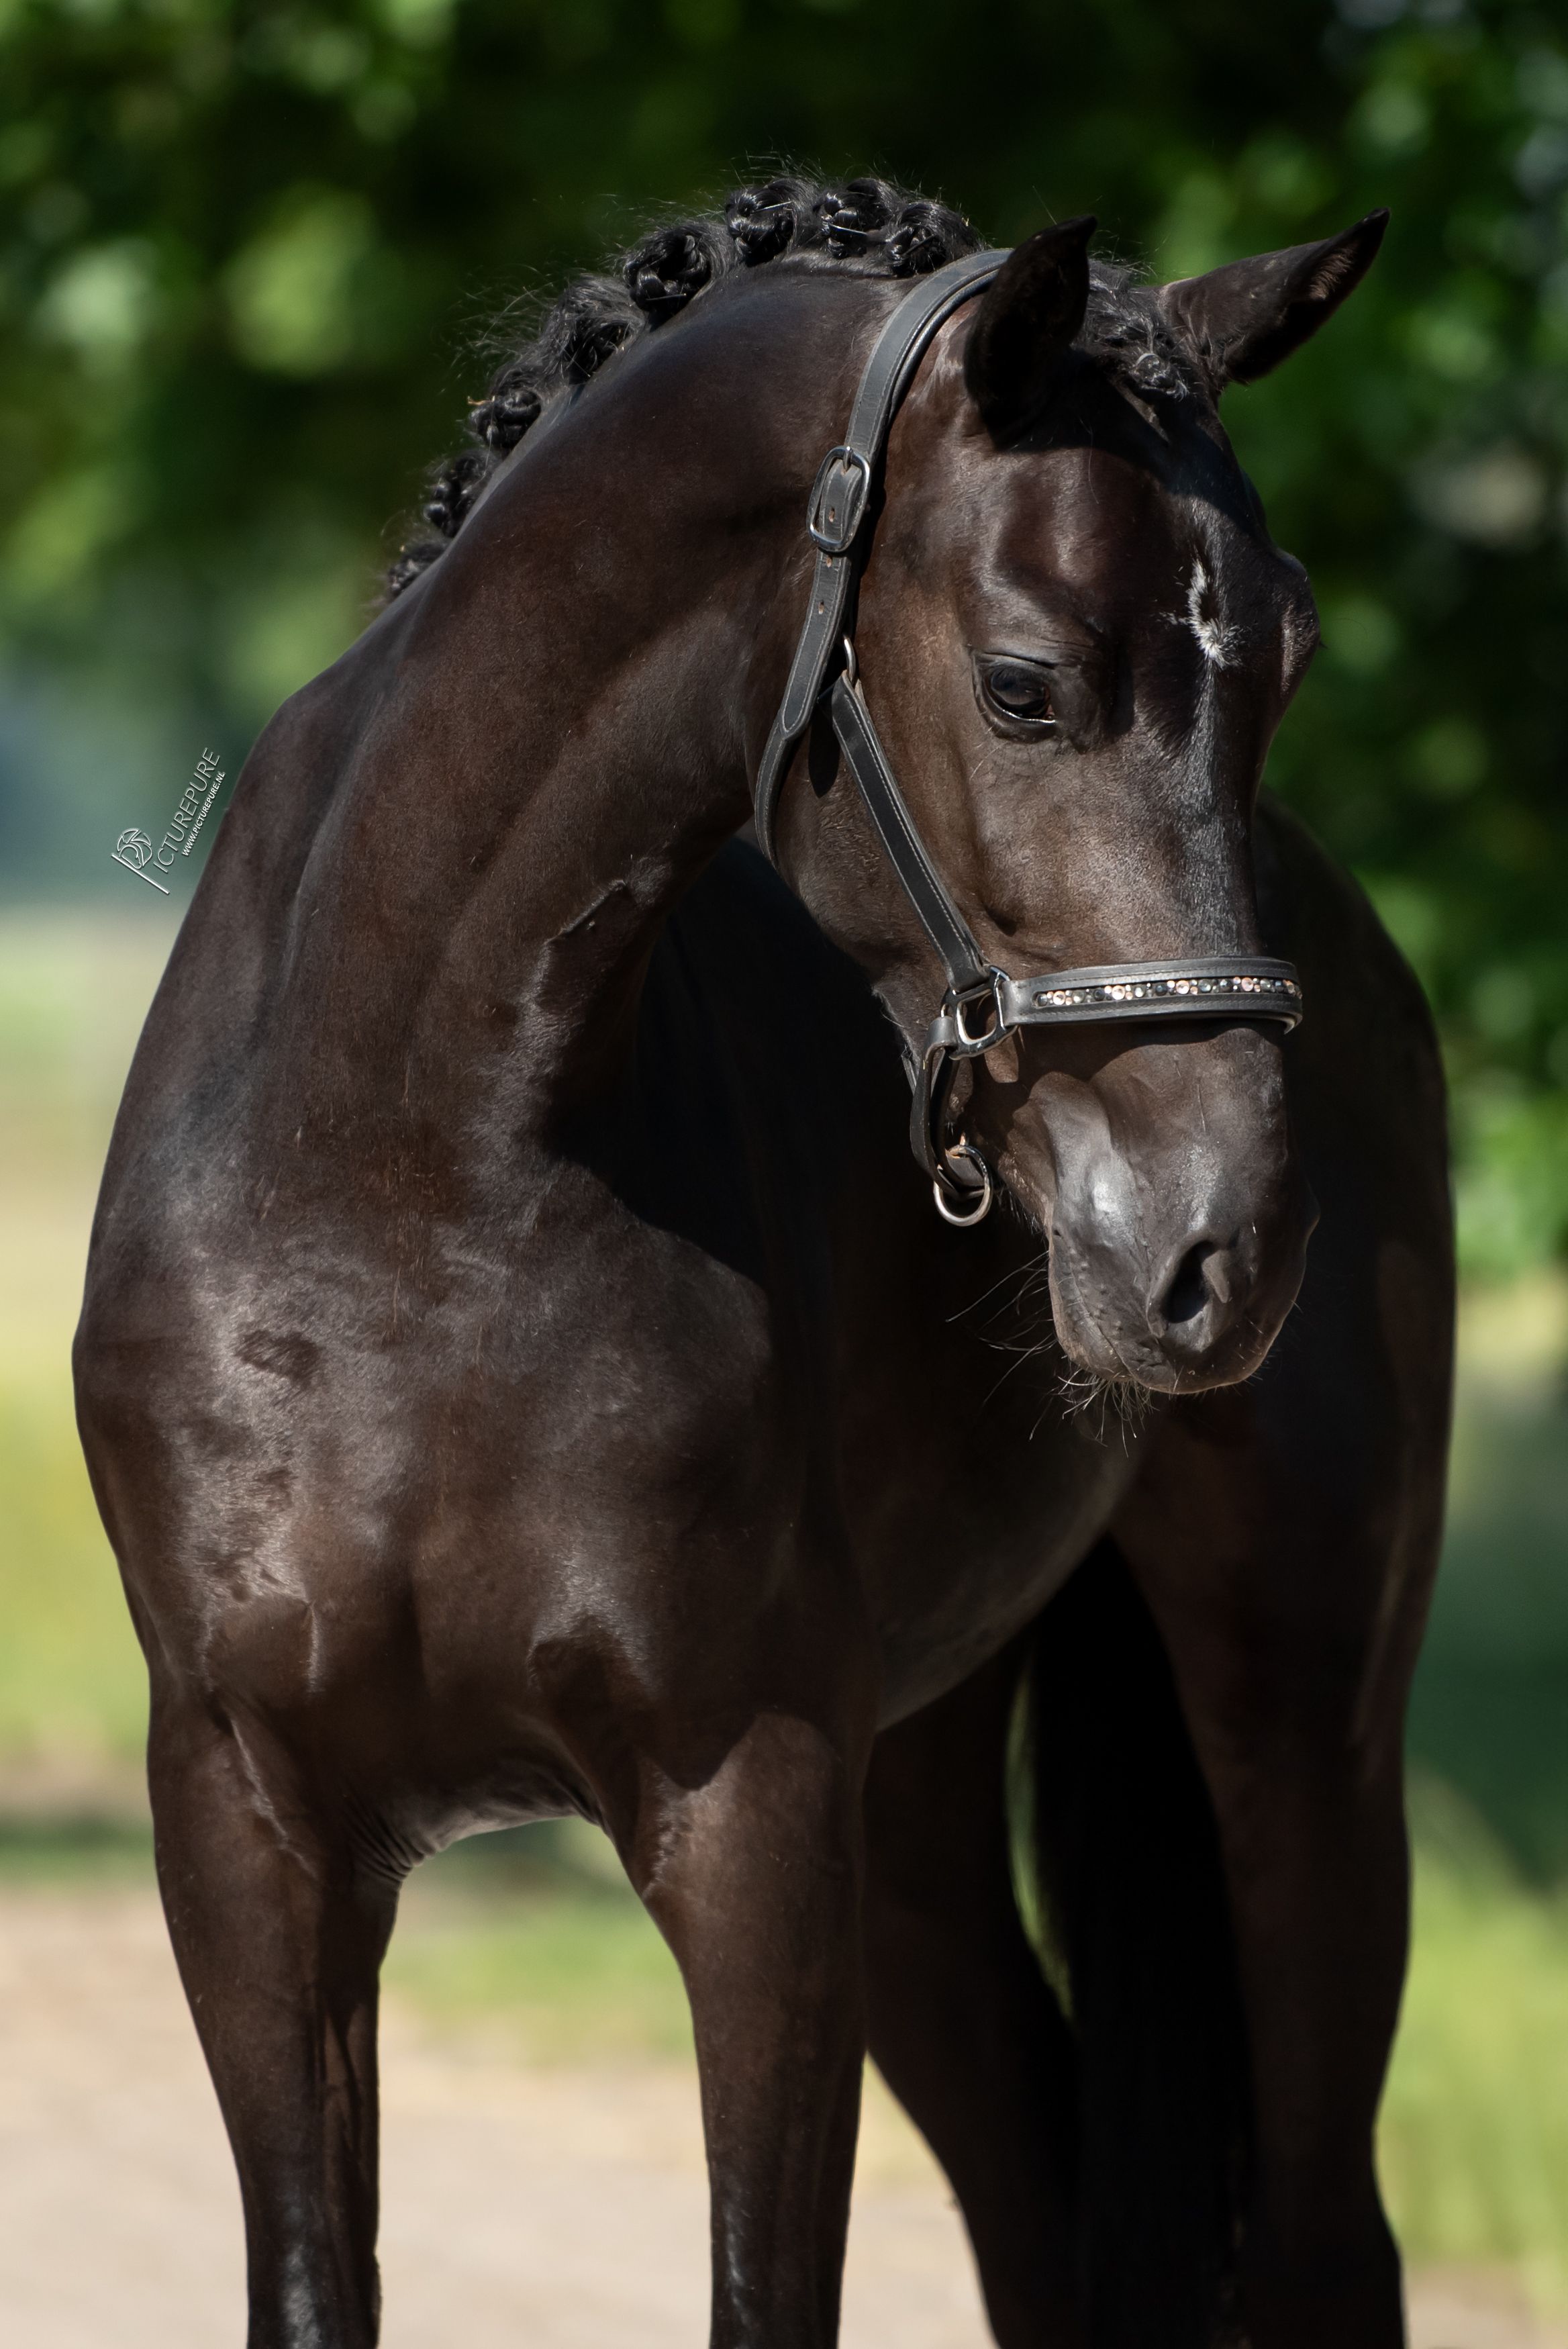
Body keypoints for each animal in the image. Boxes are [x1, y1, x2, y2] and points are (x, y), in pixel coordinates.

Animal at [74, 175, 1453, 2349]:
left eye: (1286, 663)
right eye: (1025, 680)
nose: (1217, 1244)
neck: (406, 1181)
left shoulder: (755, 1823)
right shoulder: (251, 1834)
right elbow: (314, 2278)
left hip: (1296, 1724)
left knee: (1324, 2233)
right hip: (926, 1807)